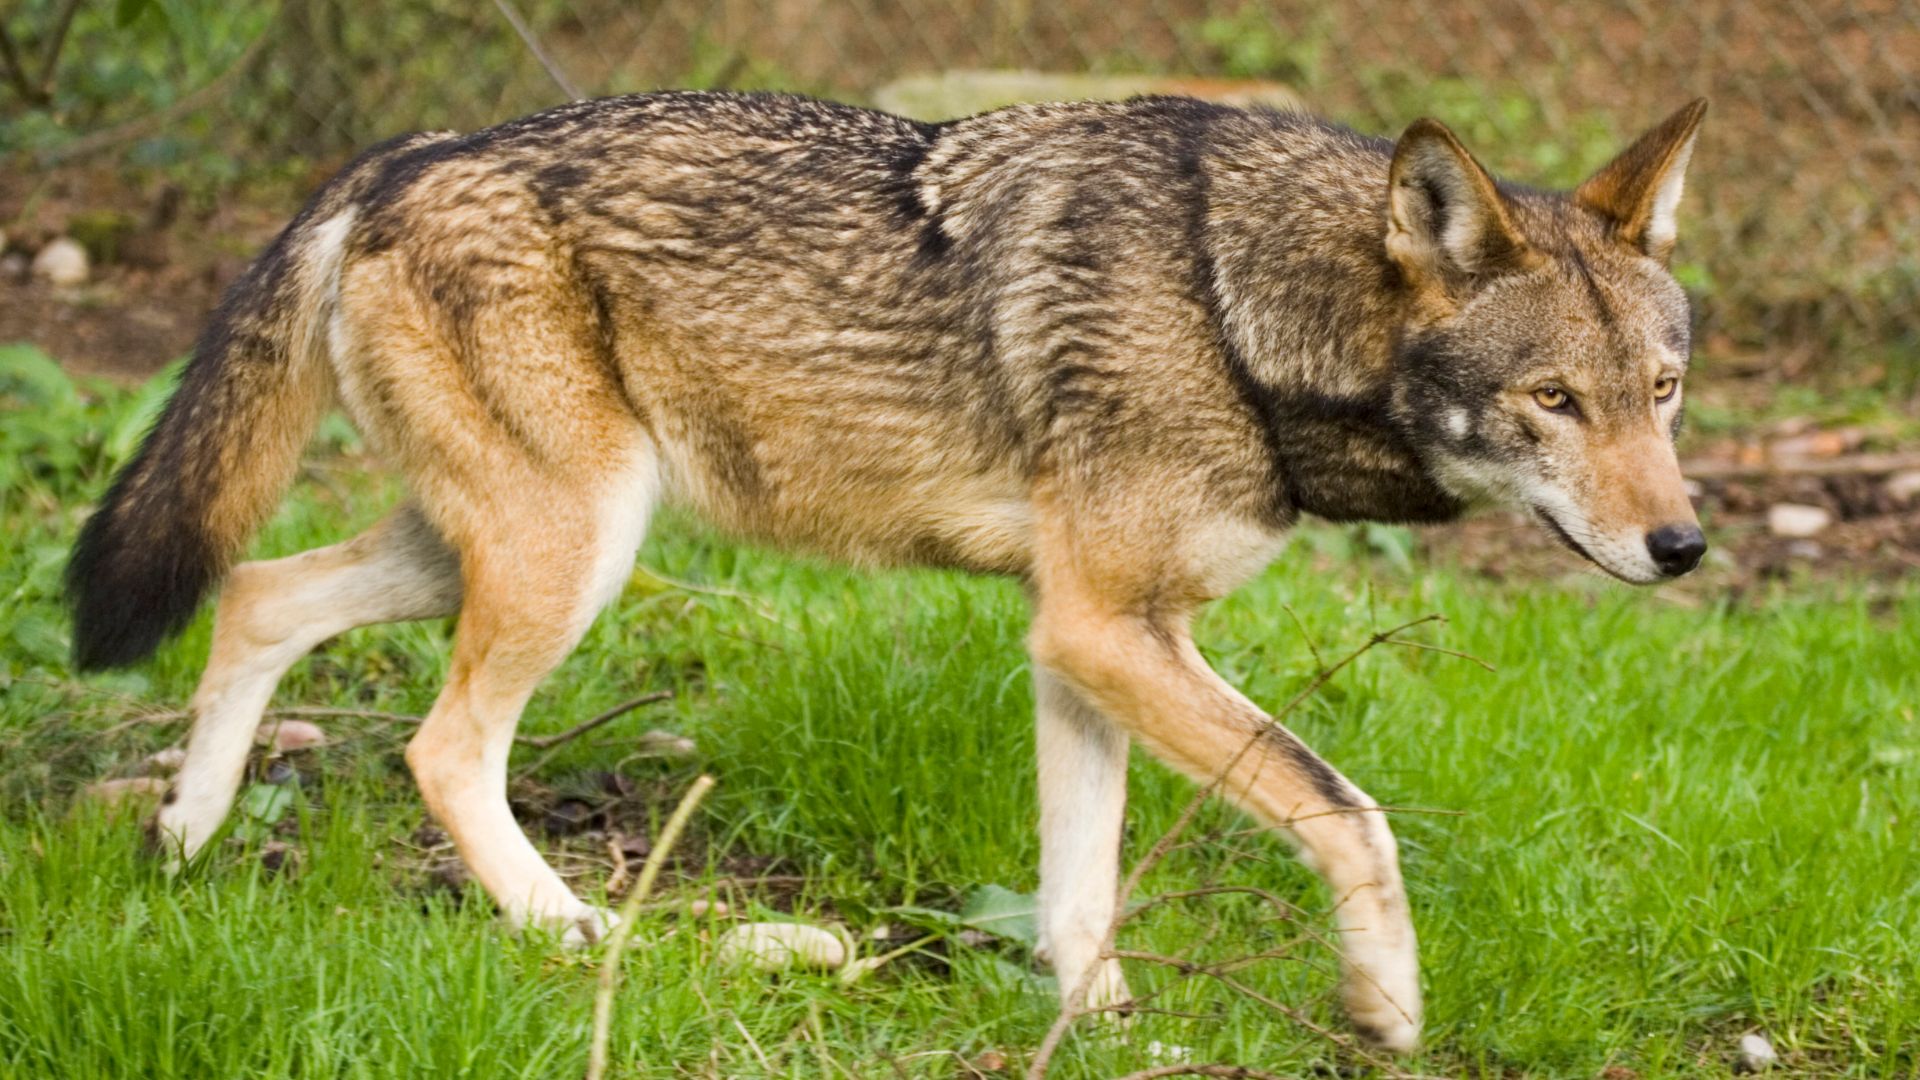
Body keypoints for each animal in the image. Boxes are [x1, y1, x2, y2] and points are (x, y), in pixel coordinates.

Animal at [67, 90, 1707, 1051]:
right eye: (1554, 401)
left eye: (1663, 392)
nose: (1684, 545)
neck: (1234, 308)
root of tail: (394, 156)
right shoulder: (1107, 629)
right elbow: (1349, 814)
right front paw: (1385, 1007)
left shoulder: (1084, 644)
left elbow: (1079, 890)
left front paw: (1098, 1025)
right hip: (568, 559)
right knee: (438, 744)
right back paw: (573, 933)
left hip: (504, 548)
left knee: (256, 595)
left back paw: (186, 839)